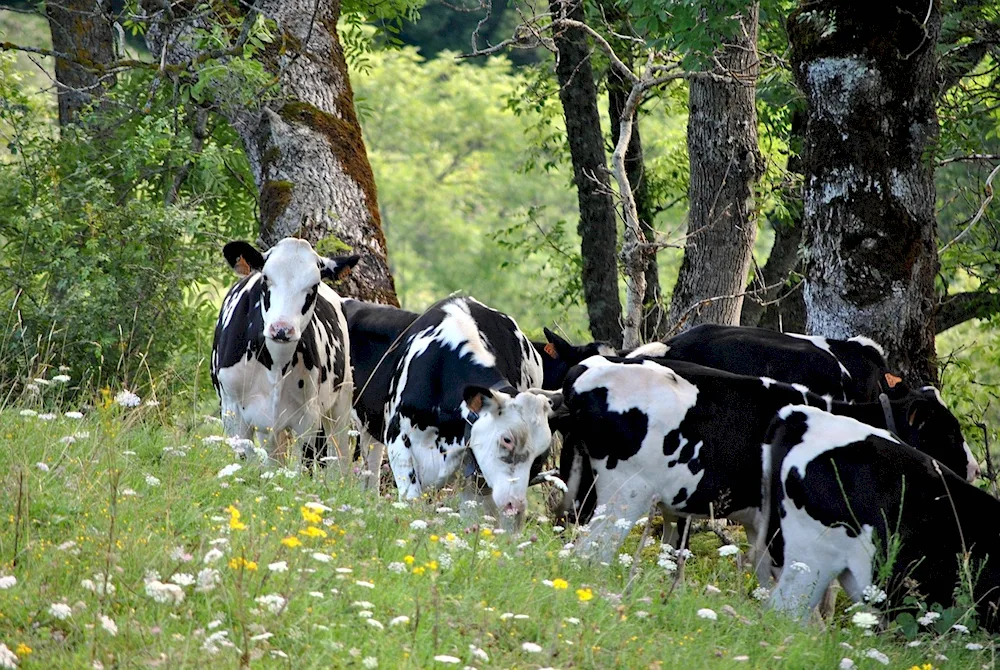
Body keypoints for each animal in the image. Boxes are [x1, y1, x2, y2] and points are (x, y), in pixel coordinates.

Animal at [211, 239, 360, 470]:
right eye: (265, 278)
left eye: (314, 286)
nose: (282, 329)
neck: (276, 365)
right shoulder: (233, 411)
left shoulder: (308, 418)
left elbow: (304, 469)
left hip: (340, 403)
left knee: (339, 459)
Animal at [552, 356, 972, 560]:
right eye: (949, 431)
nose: (974, 467)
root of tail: (585, 371)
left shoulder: (756, 519)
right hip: (624, 494)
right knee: (592, 550)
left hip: (581, 487)